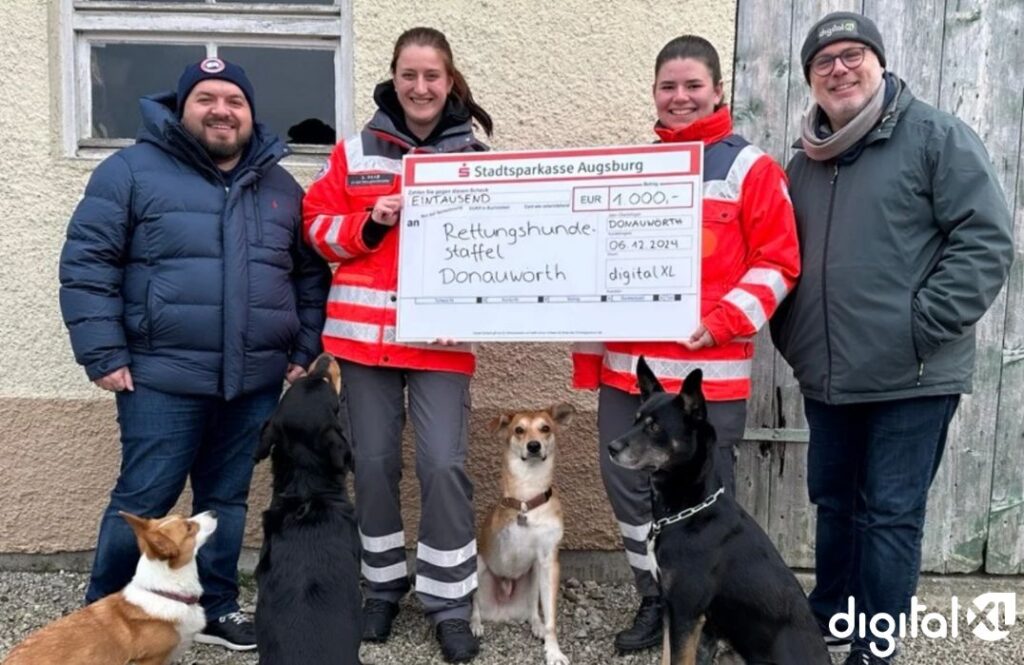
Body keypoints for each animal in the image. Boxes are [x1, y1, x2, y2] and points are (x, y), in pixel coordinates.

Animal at [471, 399, 577, 663]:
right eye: (519, 430)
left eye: (545, 428)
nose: (533, 445)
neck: (527, 501)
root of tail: (501, 613)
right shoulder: (499, 542)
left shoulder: (548, 560)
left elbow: (551, 618)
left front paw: (553, 651)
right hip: (478, 563)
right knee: (474, 603)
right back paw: (475, 624)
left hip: (534, 574)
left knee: (533, 609)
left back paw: (536, 625)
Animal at [602, 358, 827, 663]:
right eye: (635, 419)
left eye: (655, 428)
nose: (611, 447)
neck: (689, 513)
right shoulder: (671, 607)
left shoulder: (686, 612)